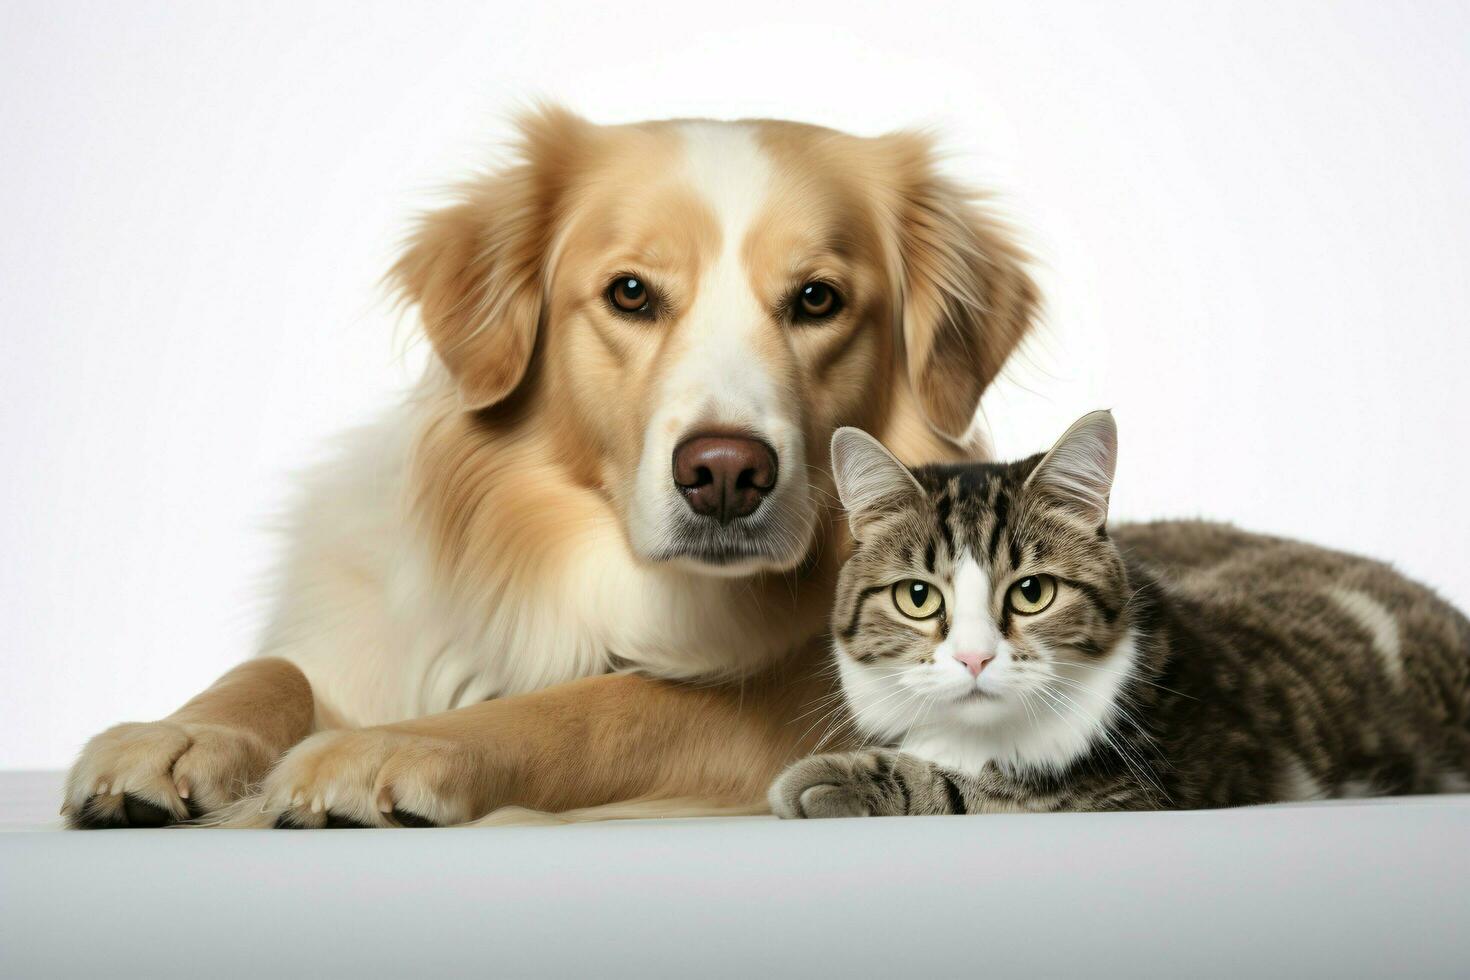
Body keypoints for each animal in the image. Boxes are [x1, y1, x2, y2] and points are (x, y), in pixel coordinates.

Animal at [63, 107, 1040, 828]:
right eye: (631, 293)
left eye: (817, 299)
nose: (726, 472)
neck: (563, 579)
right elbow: (279, 670)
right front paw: (179, 734)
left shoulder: (790, 710)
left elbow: (594, 710)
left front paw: (399, 743)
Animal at [770, 411, 1470, 816]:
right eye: (918, 597)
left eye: (1032, 592)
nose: (973, 657)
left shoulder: (1166, 771)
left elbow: (993, 787)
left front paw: (827, 783)